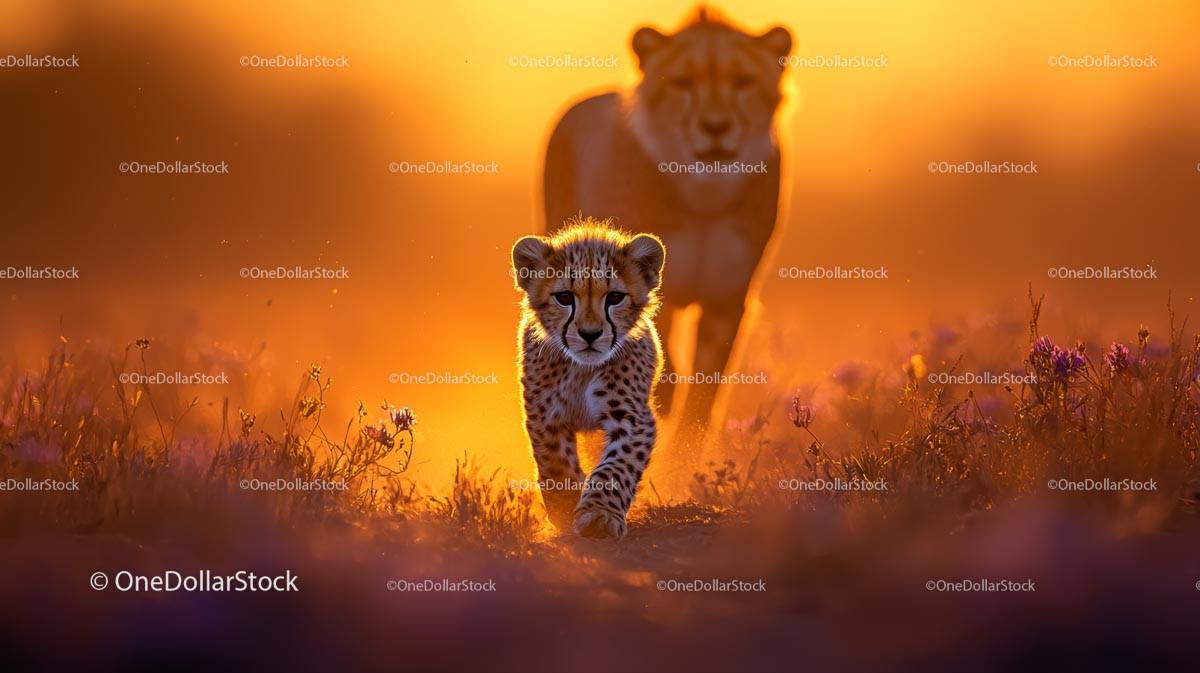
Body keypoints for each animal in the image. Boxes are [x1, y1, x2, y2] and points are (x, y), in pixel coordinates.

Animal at [512, 217, 665, 540]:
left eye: (615, 298)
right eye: (564, 298)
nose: (590, 334)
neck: (582, 369)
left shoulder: (632, 417)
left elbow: (616, 468)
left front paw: (599, 515)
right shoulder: (545, 416)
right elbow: (555, 464)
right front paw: (565, 508)